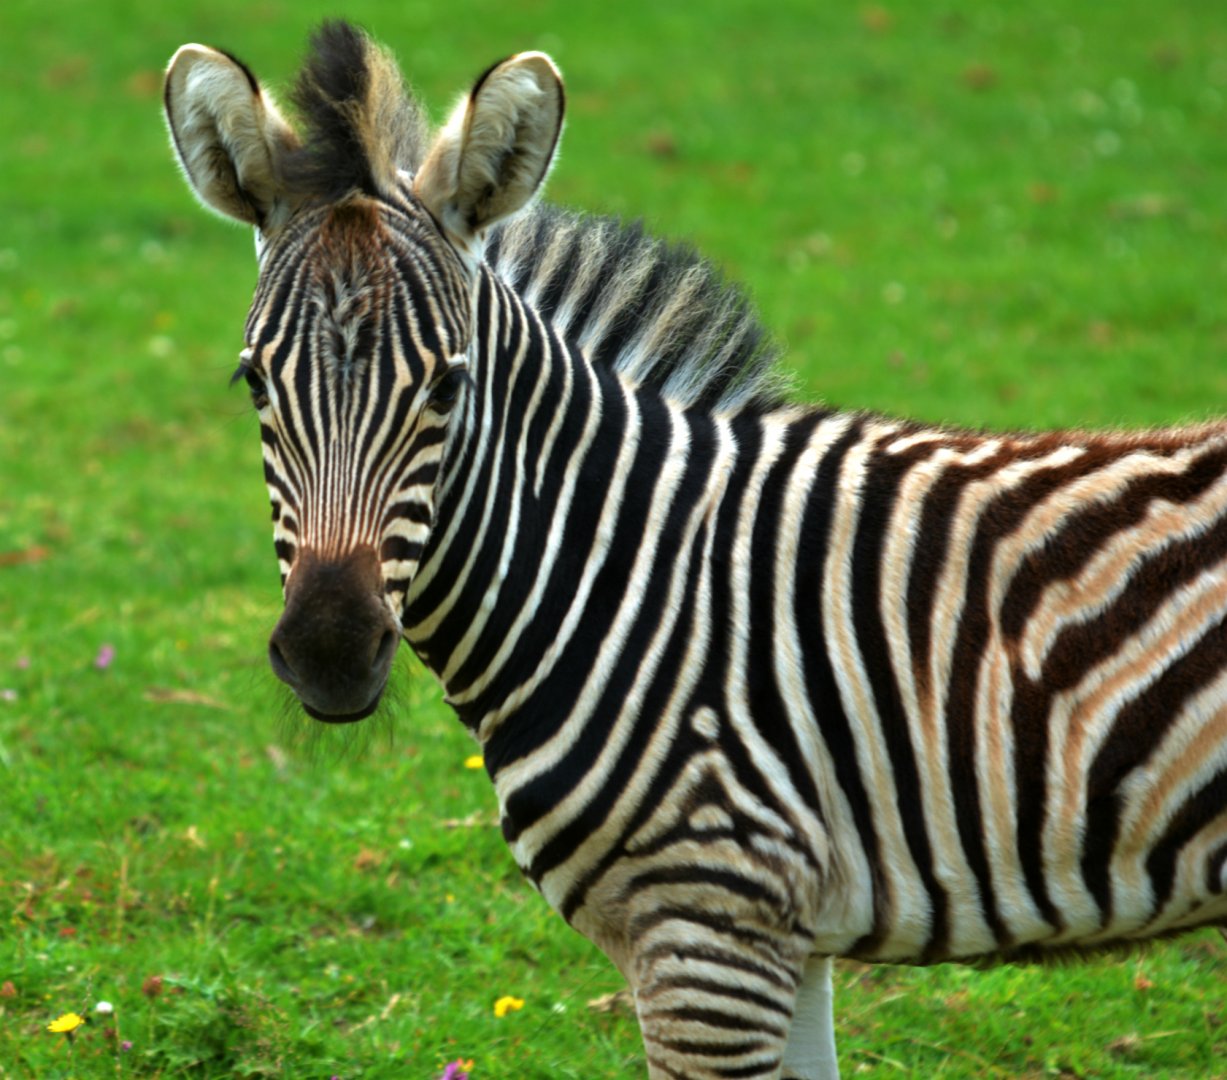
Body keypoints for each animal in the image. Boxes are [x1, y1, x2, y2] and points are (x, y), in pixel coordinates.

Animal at [164, 22, 1227, 1080]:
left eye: (447, 386)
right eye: (253, 381)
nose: (330, 652)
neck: (630, 577)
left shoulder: (707, 930)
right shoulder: (780, 936)